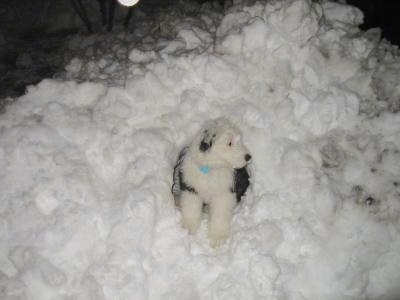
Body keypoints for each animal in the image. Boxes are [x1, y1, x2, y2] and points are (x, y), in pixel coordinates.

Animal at [171, 117, 250, 246]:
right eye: (229, 143)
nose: (248, 157)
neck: (210, 169)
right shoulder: (191, 189)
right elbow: (190, 209)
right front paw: (187, 228)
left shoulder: (224, 194)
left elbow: (220, 215)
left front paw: (218, 238)